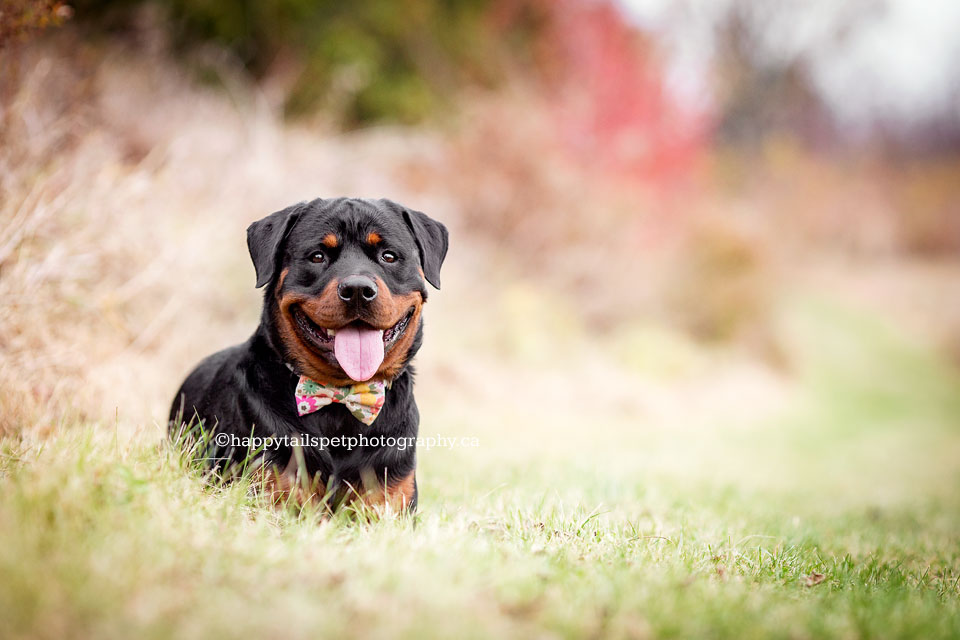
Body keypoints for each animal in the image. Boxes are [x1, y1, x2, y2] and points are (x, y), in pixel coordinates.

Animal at [168, 198, 446, 512]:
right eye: (317, 256)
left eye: (388, 256)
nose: (358, 289)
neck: (341, 398)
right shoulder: (273, 495)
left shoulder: (388, 503)